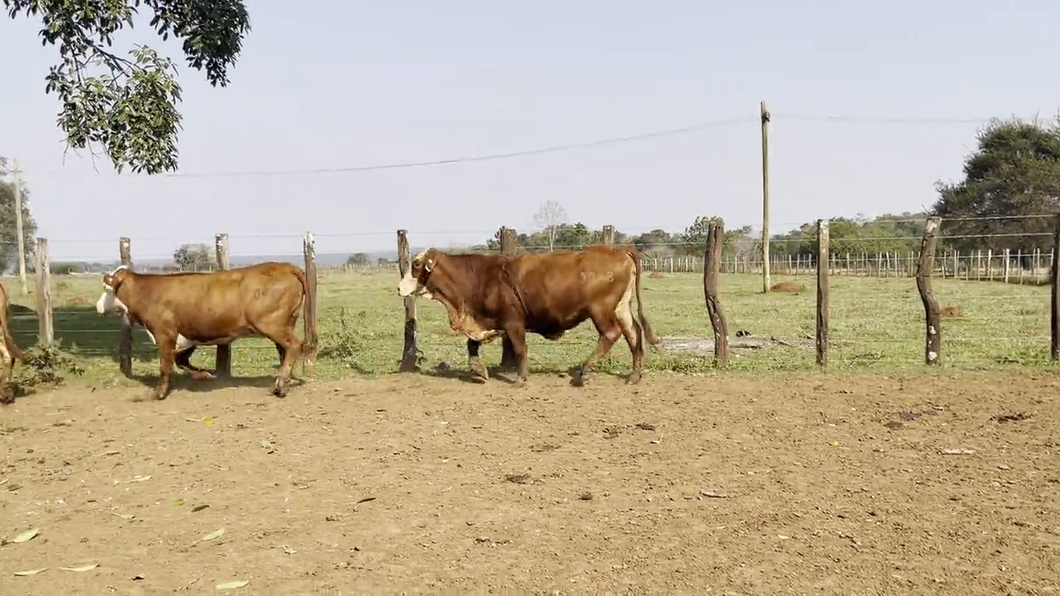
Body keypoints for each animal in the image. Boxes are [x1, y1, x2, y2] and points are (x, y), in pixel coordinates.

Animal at [95, 259, 313, 398]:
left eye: (107, 289)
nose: (98, 306)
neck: (147, 291)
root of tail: (284, 266)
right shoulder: (188, 335)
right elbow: (181, 361)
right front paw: (205, 374)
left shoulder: (165, 334)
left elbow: (165, 366)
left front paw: (159, 393)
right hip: (285, 323)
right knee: (285, 350)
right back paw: (285, 382)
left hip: (272, 324)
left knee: (294, 346)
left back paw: (280, 386)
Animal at [398, 242, 657, 386]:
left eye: (416, 266)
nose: (399, 288)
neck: (480, 278)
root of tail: (620, 251)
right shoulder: (490, 321)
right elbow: (471, 344)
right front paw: (479, 371)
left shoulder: (513, 322)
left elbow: (520, 348)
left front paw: (521, 378)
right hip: (621, 307)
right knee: (633, 334)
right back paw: (634, 375)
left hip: (600, 310)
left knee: (611, 334)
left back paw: (585, 371)